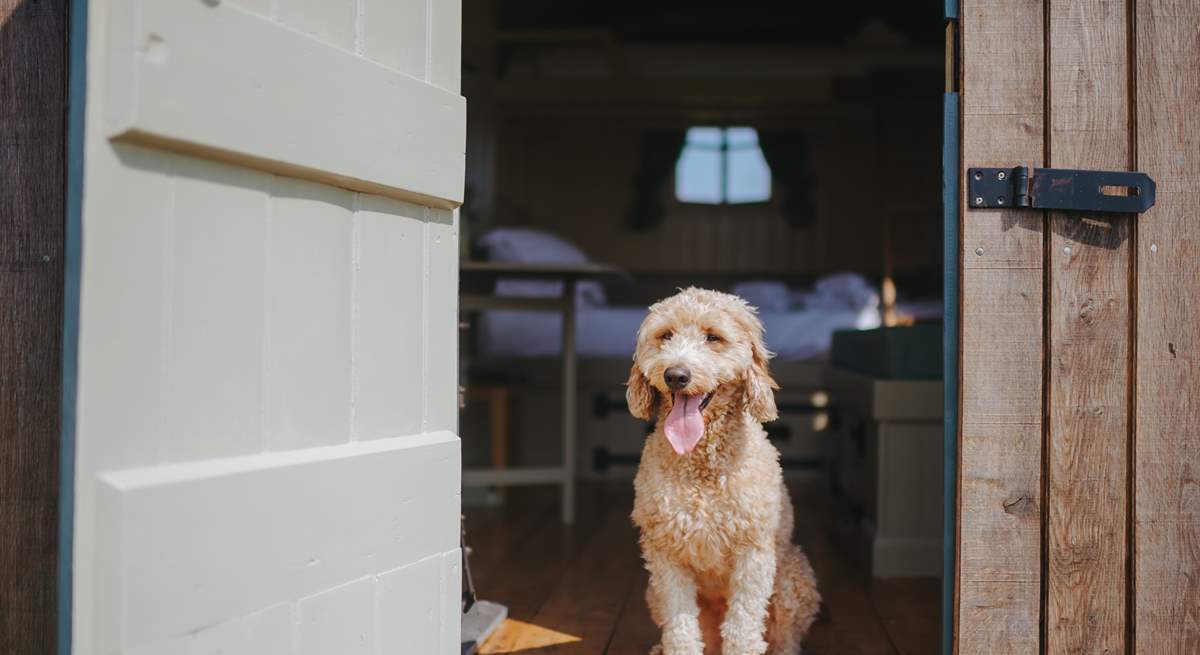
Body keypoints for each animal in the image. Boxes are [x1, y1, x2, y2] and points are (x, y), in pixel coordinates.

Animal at [624, 287, 820, 647]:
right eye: (666, 335)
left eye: (713, 337)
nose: (676, 375)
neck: (701, 461)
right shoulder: (665, 555)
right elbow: (681, 630)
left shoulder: (754, 555)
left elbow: (743, 628)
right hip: (652, 592)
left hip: (792, 578)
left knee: (785, 638)